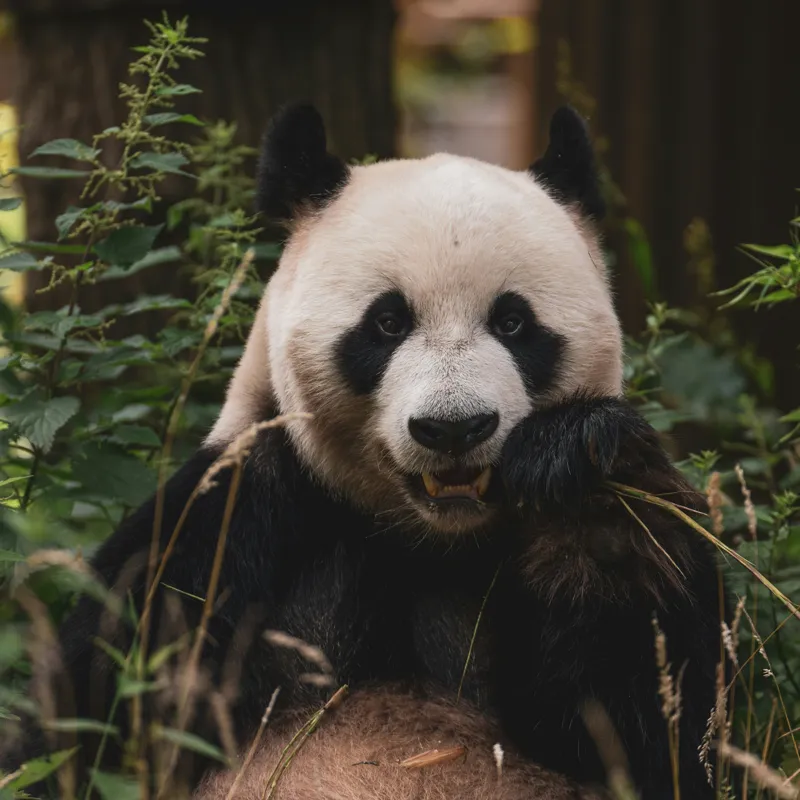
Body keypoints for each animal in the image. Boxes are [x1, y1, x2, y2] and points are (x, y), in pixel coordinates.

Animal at [5, 103, 725, 800]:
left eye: (513, 321)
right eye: (387, 322)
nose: (454, 427)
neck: (427, 538)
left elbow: (643, 722)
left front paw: (577, 468)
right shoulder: (231, 516)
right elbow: (92, 717)